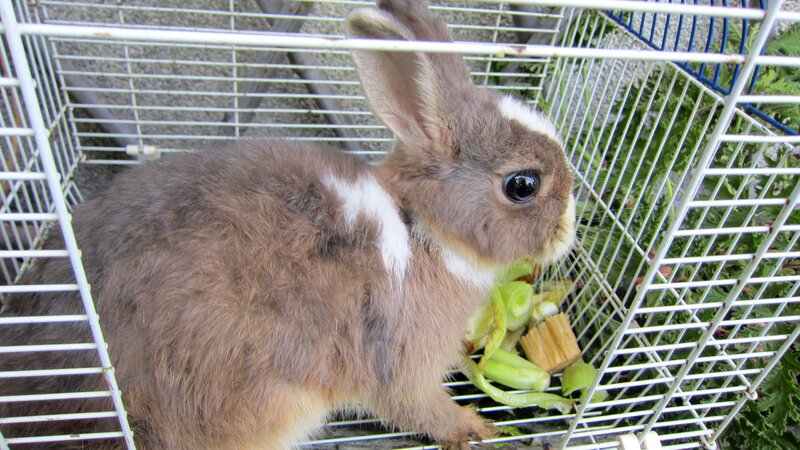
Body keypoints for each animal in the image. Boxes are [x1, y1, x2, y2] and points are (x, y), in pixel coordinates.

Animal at [0, 0, 576, 448]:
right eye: (522, 185)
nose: (570, 230)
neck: (421, 230)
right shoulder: (401, 363)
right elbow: (420, 408)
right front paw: (474, 427)